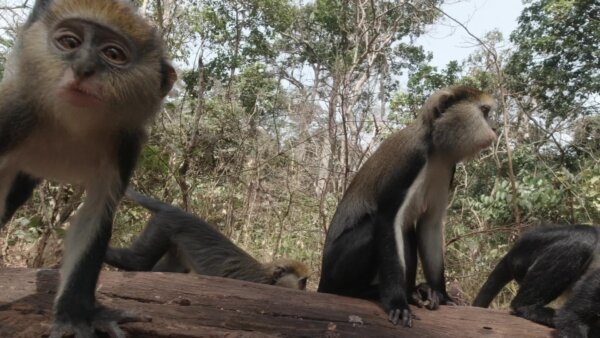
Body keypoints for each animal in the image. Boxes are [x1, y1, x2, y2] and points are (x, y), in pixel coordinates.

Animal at [0, 1, 177, 336]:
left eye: (113, 54)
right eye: (70, 43)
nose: (83, 68)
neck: (72, 125)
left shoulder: (125, 146)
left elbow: (95, 214)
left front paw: (76, 314)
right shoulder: (14, 116)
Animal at [105, 190, 310, 290]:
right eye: (303, 283)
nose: (304, 290)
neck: (268, 276)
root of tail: (177, 211)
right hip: (164, 224)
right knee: (138, 261)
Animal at [318, 86, 496, 328]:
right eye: (485, 112)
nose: (494, 128)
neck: (435, 147)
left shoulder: (449, 168)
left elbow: (429, 225)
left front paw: (442, 295)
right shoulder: (411, 160)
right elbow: (387, 219)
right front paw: (397, 302)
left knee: (407, 232)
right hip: (335, 271)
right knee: (378, 228)